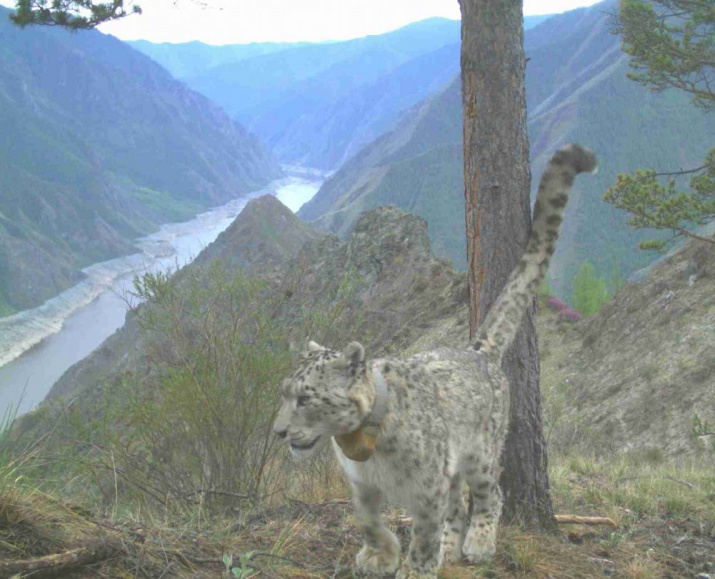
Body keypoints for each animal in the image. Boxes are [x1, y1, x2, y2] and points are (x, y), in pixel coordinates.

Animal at [274, 146, 600, 579]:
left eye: (306, 398)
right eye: (284, 393)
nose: (277, 431)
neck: (362, 447)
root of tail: (477, 351)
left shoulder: (428, 485)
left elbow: (424, 529)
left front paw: (417, 567)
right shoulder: (361, 485)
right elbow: (368, 520)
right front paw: (379, 555)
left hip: (482, 453)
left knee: (489, 495)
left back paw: (478, 543)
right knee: (458, 507)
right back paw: (452, 545)